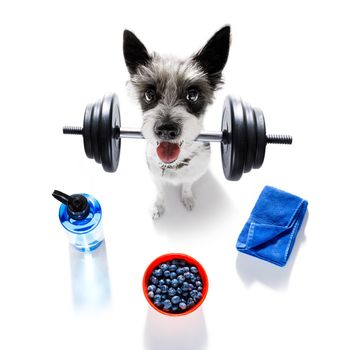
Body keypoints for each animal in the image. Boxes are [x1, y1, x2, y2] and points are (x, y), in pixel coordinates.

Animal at [123, 25, 230, 219]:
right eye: (149, 94)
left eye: (192, 95)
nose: (166, 130)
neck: (174, 164)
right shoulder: (155, 176)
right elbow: (160, 192)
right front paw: (158, 206)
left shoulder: (192, 175)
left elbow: (187, 185)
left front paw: (187, 198)